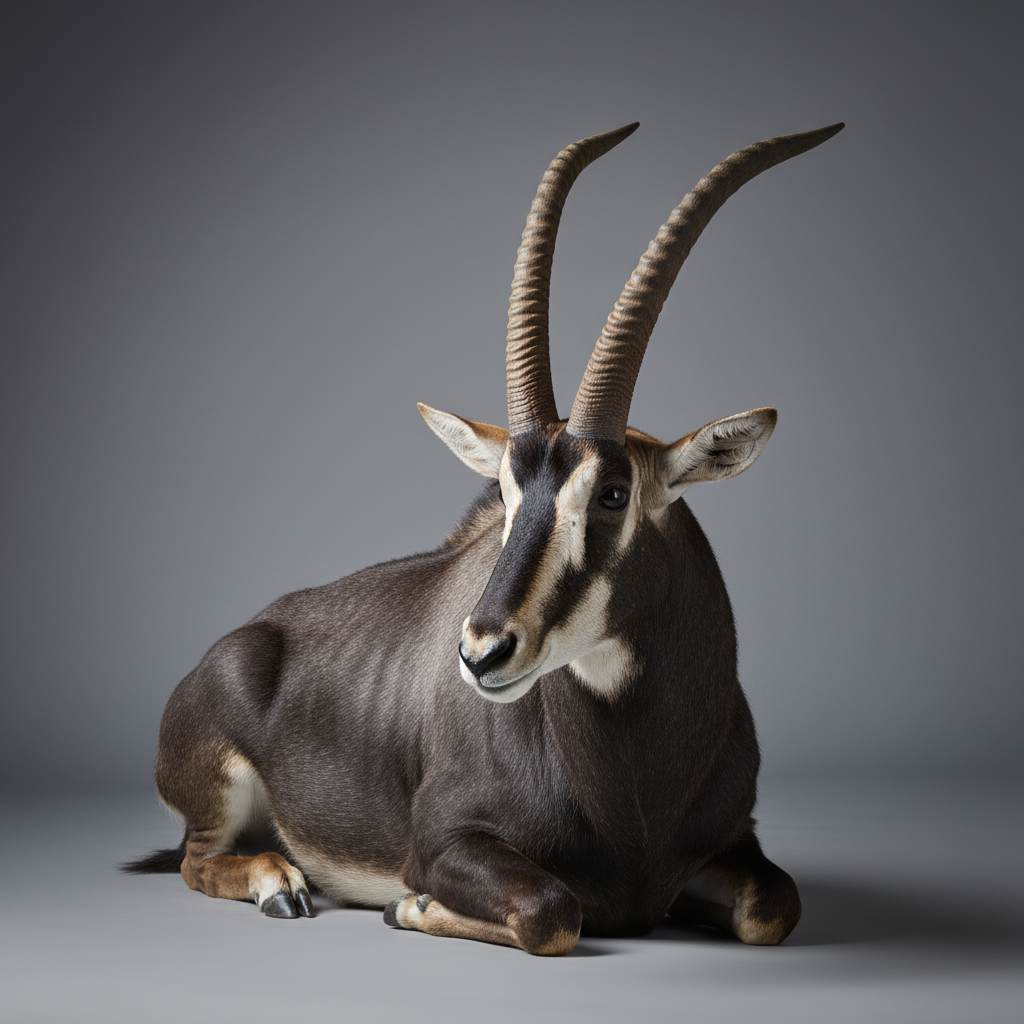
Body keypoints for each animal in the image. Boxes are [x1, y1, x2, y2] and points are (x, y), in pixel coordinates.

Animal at [125, 121, 843, 955]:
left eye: (613, 493)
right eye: (503, 492)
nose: (481, 653)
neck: (637, 786)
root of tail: (248, 633)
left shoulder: (735, 843)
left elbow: (774, 908)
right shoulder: (443, 841)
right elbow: (553, 912)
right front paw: (408, 907)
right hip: (218, 798)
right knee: (196, 860)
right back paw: (279, 882)